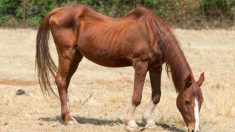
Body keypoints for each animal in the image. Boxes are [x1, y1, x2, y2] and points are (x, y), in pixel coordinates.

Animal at [35, 4, 205, 132]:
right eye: (187, 101)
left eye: (201, 101)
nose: (194, 129)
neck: (153, 33)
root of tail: (58, 11)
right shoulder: (140, 65)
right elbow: (136, 96)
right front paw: (130, 123)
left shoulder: (156, 66)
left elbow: (157, 95)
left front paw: (149, 121)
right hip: (67, 54)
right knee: (61, 81)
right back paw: (69, 119)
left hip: (76, 57)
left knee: (65, 83)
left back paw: (67, 115)